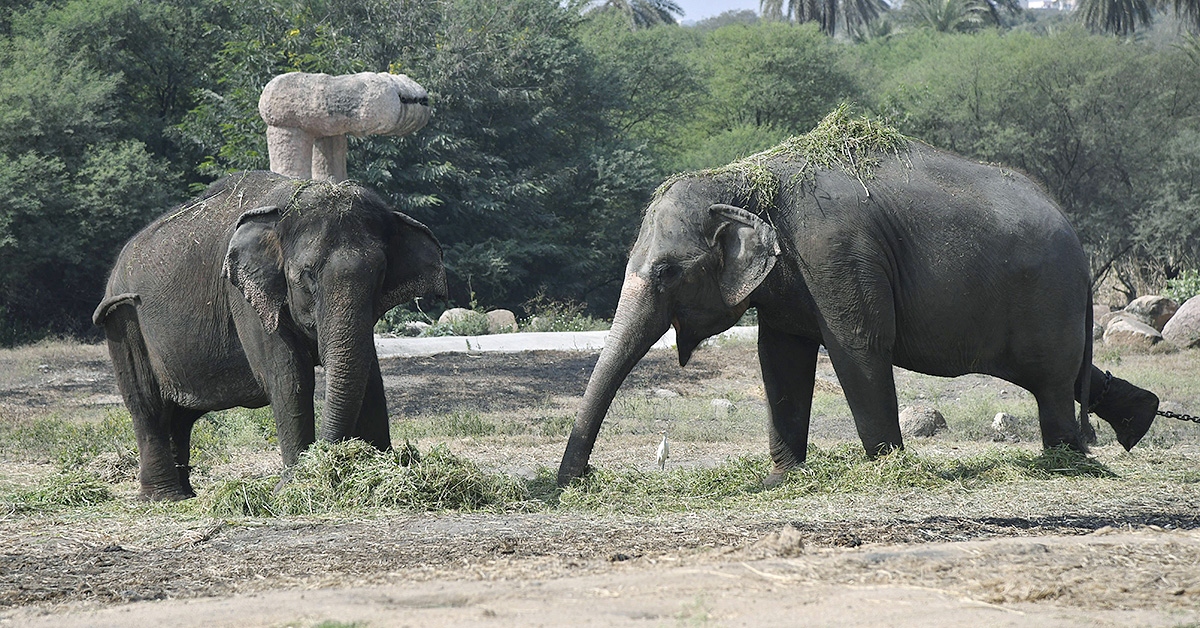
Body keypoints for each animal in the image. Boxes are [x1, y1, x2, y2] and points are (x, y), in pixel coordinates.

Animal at [94, 170, 446, 501]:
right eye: (307, 275)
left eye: (381, 274)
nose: (327, 456)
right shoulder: (242, 296)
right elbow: (289, 378)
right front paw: (294, 486)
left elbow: (370, 375)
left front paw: (381, 469)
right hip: (124, 321)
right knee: (148, 406)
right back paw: (164, 498)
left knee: (180, 415)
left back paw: (185, 493)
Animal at [556, 123, 1156, 487]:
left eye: (666, 272)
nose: (578, 482)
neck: (746, 178)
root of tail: (1079, 244)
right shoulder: (789, 278)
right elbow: (780, 358)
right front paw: (781, 480)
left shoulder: (835, 251)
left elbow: (858, 346)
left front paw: (888, 467)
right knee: (1063, 374)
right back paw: (1137, 421)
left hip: (1046, 299)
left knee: (1051, 384)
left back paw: (1063, 462)